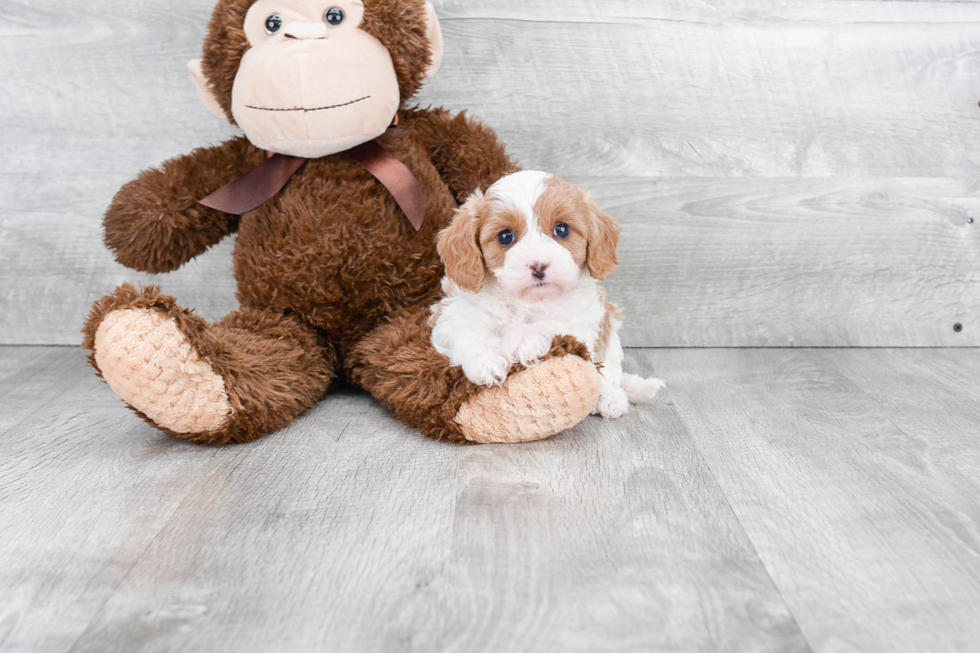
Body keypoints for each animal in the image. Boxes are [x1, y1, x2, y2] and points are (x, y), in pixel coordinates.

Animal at [430, 171, 668, 416]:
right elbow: (465, 331)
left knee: (609, 368)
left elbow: (551, 324)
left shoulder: (584, 320)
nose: (538, 266)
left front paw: (524, 341)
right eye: (505, 236)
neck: (527, 301)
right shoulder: (448, 315)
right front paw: (485, 361)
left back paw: (610, 396)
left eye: (561, 229)